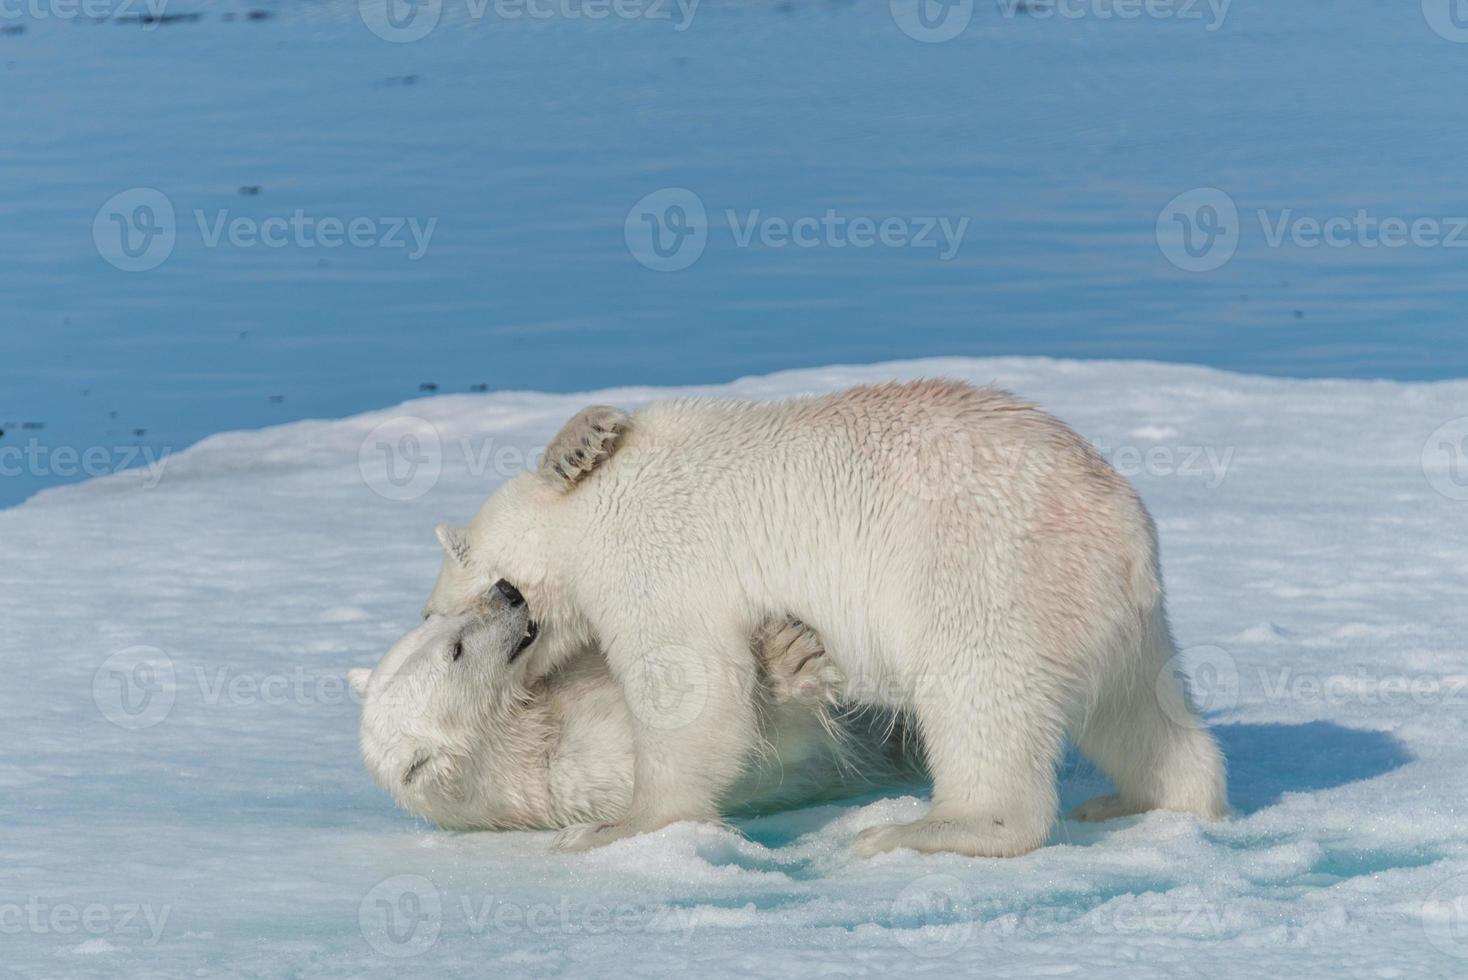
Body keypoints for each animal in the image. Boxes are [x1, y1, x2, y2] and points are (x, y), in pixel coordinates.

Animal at [350, 586, 916, 833]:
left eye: (439, 620)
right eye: (457, 651)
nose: (507, 591)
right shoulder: (585, 771)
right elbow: (729, 759)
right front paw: (790, 657)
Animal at [422, 381, 1227, 856]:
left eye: (443, 614)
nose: (499, 615)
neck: (582, 520)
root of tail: (1124, 532)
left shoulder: (654, 555)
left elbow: (691, 686)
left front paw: (618, 826)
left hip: (986, 572)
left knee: (980, 697)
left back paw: (927, 828)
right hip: (1108, 615)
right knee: (1139, 712)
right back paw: (1147, 799)